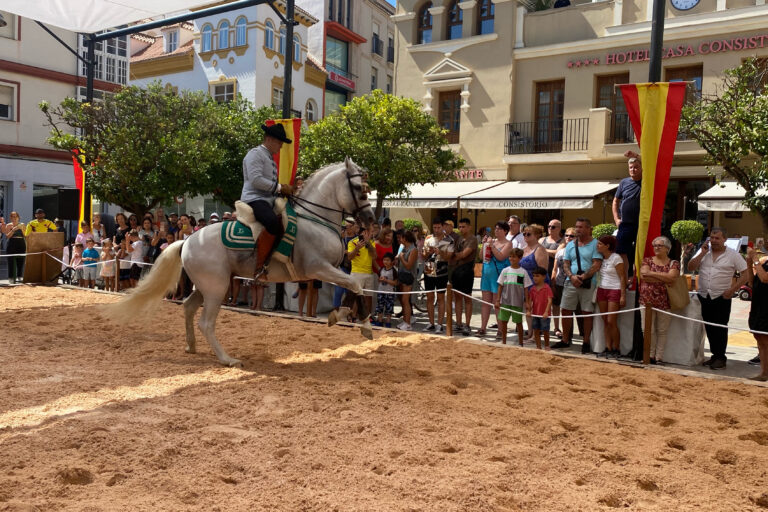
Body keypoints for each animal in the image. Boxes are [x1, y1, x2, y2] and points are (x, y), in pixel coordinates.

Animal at [112, 158, 378, 366]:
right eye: (359, 188)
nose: (370, 218)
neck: (316, 221)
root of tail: (187, 241)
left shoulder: (333, 269)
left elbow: (354, 286)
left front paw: (340, 315)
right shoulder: (319, 268)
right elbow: (355, 286)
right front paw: (363, 325)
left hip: (210, 285)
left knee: (188, 307)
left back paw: (191, 346)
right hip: (217, 288)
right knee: (206, 323)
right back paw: (227, 359)